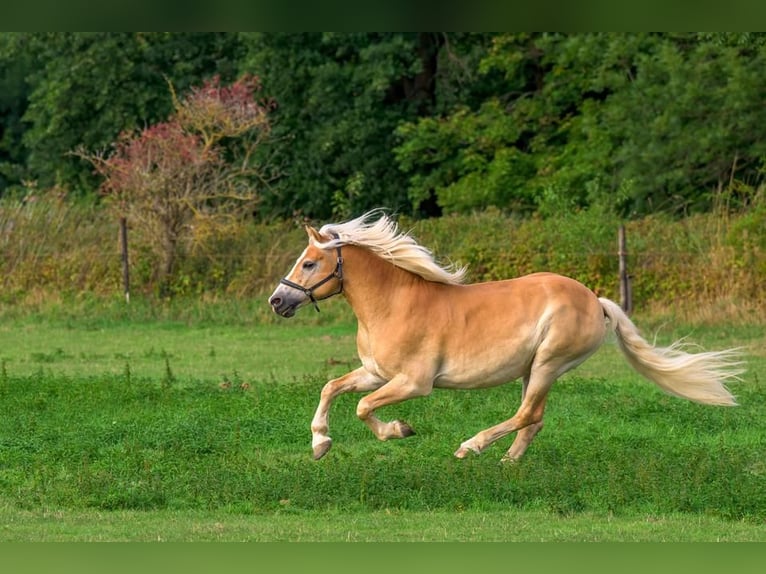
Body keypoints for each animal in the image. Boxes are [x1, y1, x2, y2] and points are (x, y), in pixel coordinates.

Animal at [268, 211, 743, 462]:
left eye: (309, 263)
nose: (277, 300)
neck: (392, 305)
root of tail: (595, 300)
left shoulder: (413, 383)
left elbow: (364, 407)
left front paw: (400, 430)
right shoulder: (376, 372)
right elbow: (332, 387)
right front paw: (320, 443)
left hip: (549, 362)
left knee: (527, 414)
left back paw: (470, 448)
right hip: (534, 369)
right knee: (535, 418)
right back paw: (507, 463)